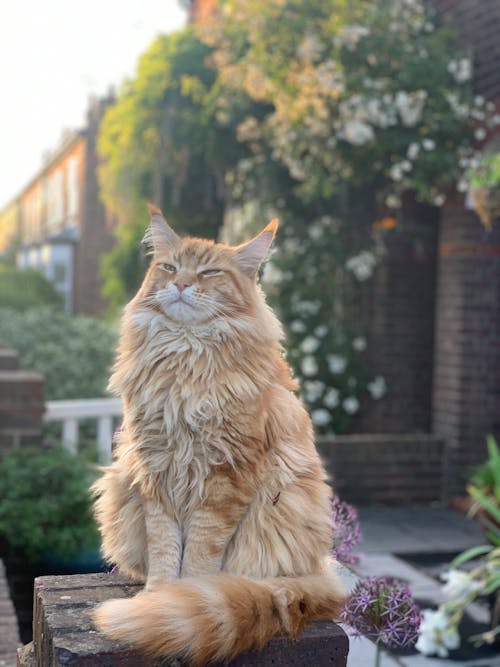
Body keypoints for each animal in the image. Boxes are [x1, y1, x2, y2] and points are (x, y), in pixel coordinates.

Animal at [93, 206, 344, 664]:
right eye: (170, 267)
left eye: (209, 272)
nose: (180, 284)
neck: (185, 354)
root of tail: (321, 573)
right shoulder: (156, 472)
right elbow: (164, 548)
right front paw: (158, 596)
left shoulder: (226, 478)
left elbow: (198, 556)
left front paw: (183, 598)